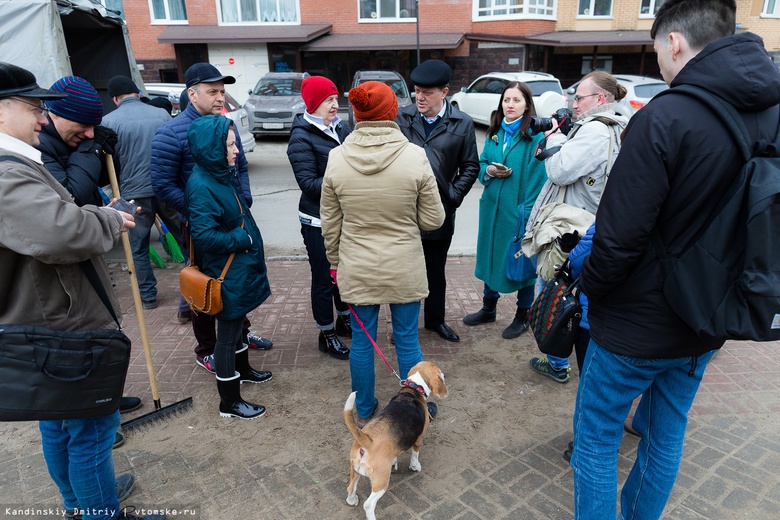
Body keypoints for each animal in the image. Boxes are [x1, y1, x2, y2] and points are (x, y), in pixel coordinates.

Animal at [344, 362, 448, 520]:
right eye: (439, 371)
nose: (445, 375)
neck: (413, 388)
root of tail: (367, 440)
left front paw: (395, 462)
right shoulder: (418, 439)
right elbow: (415, 455)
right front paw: (415, 466)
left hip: (354, 469)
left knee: (350, 488)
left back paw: (352, 500)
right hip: (381, 481)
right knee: (368, 504)